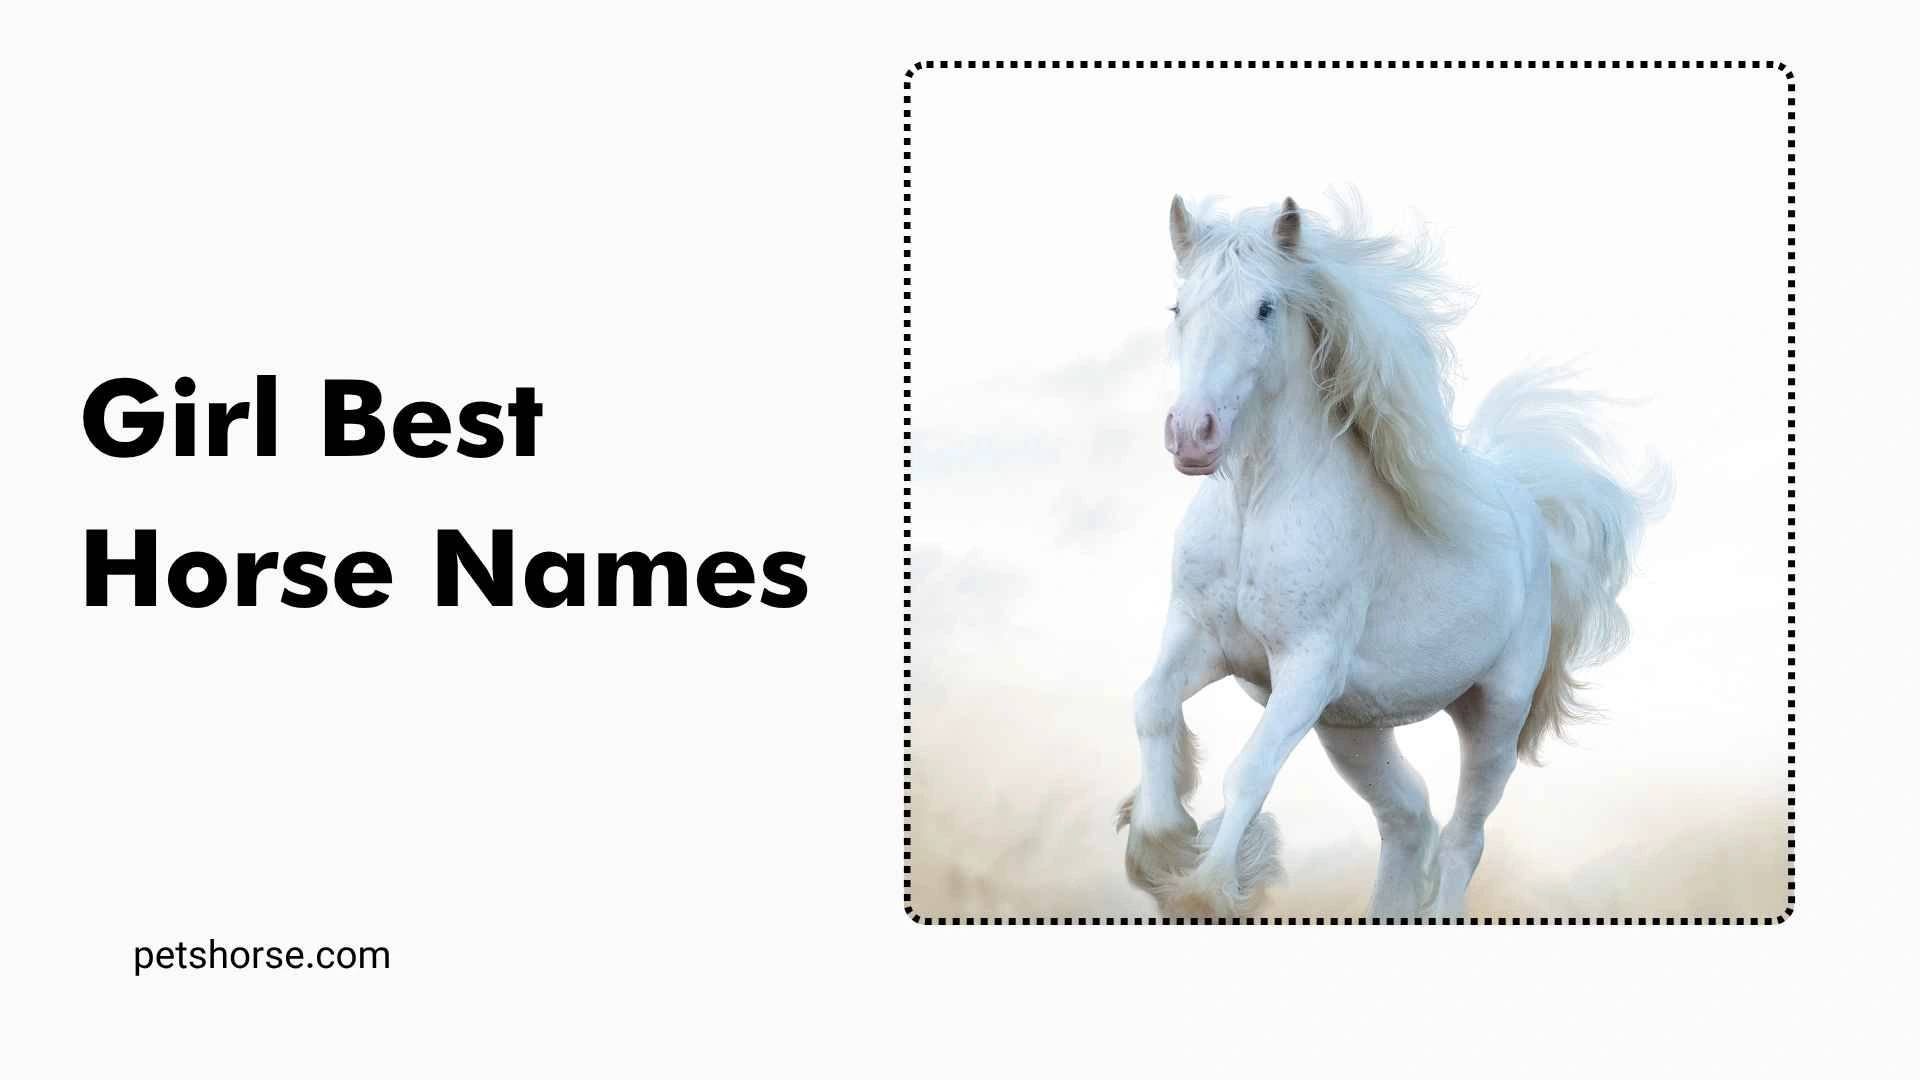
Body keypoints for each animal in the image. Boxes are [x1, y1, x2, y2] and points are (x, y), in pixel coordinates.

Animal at [1115, 194, 1663, 918]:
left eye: (1265, 307)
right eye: (1180, 307)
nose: (1191, 434)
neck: (1256, 506)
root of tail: (1527, 511)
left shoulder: (1308, 667)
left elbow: (1249, 772)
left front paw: (1205, 887)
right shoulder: (1200, 637)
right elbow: (1150, 705)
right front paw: (1161, 841)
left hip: (1494, 716)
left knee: (1462, 839)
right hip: (1352, 729)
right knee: (1408, 818)